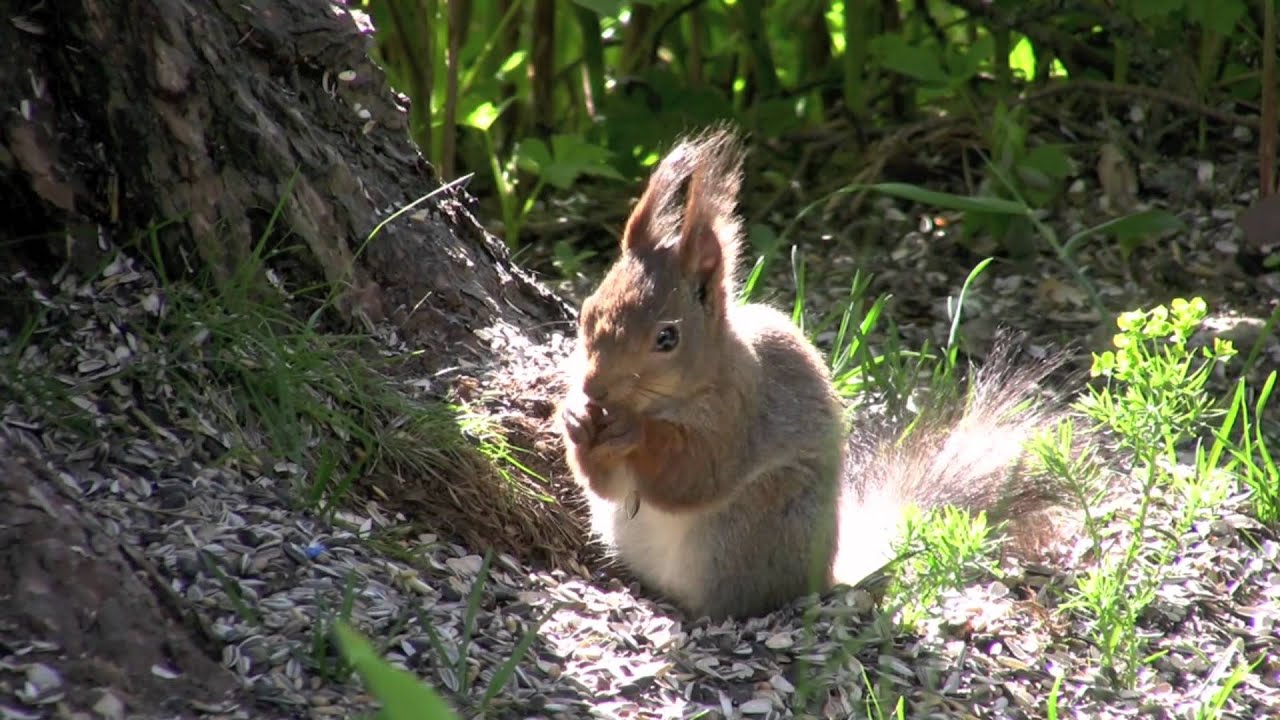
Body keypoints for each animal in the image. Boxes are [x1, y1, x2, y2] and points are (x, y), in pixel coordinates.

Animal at [557, 126, 1072, 620]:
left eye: (667, 338)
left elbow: (694, 474)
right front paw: (575, 418)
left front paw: (631, 429)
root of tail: (825, 573)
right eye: (587, 310)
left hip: (749, 527)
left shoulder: (739, 412)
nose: (593, 387)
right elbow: (606, 485)